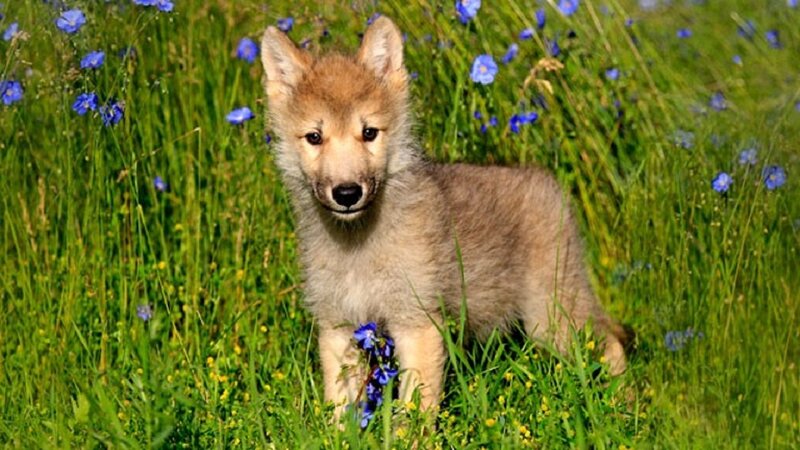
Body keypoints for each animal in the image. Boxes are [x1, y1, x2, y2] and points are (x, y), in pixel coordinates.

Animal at [259, 16, 627, 420]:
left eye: (369, 132)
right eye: (314, 137)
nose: (347, 193)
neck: (358, 247)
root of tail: (549, 182)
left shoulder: (417, 324)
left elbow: (413, 412)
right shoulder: (338, 327)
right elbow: (340, 409)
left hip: (553, 317)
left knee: (612, 343)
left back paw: (623, 408)